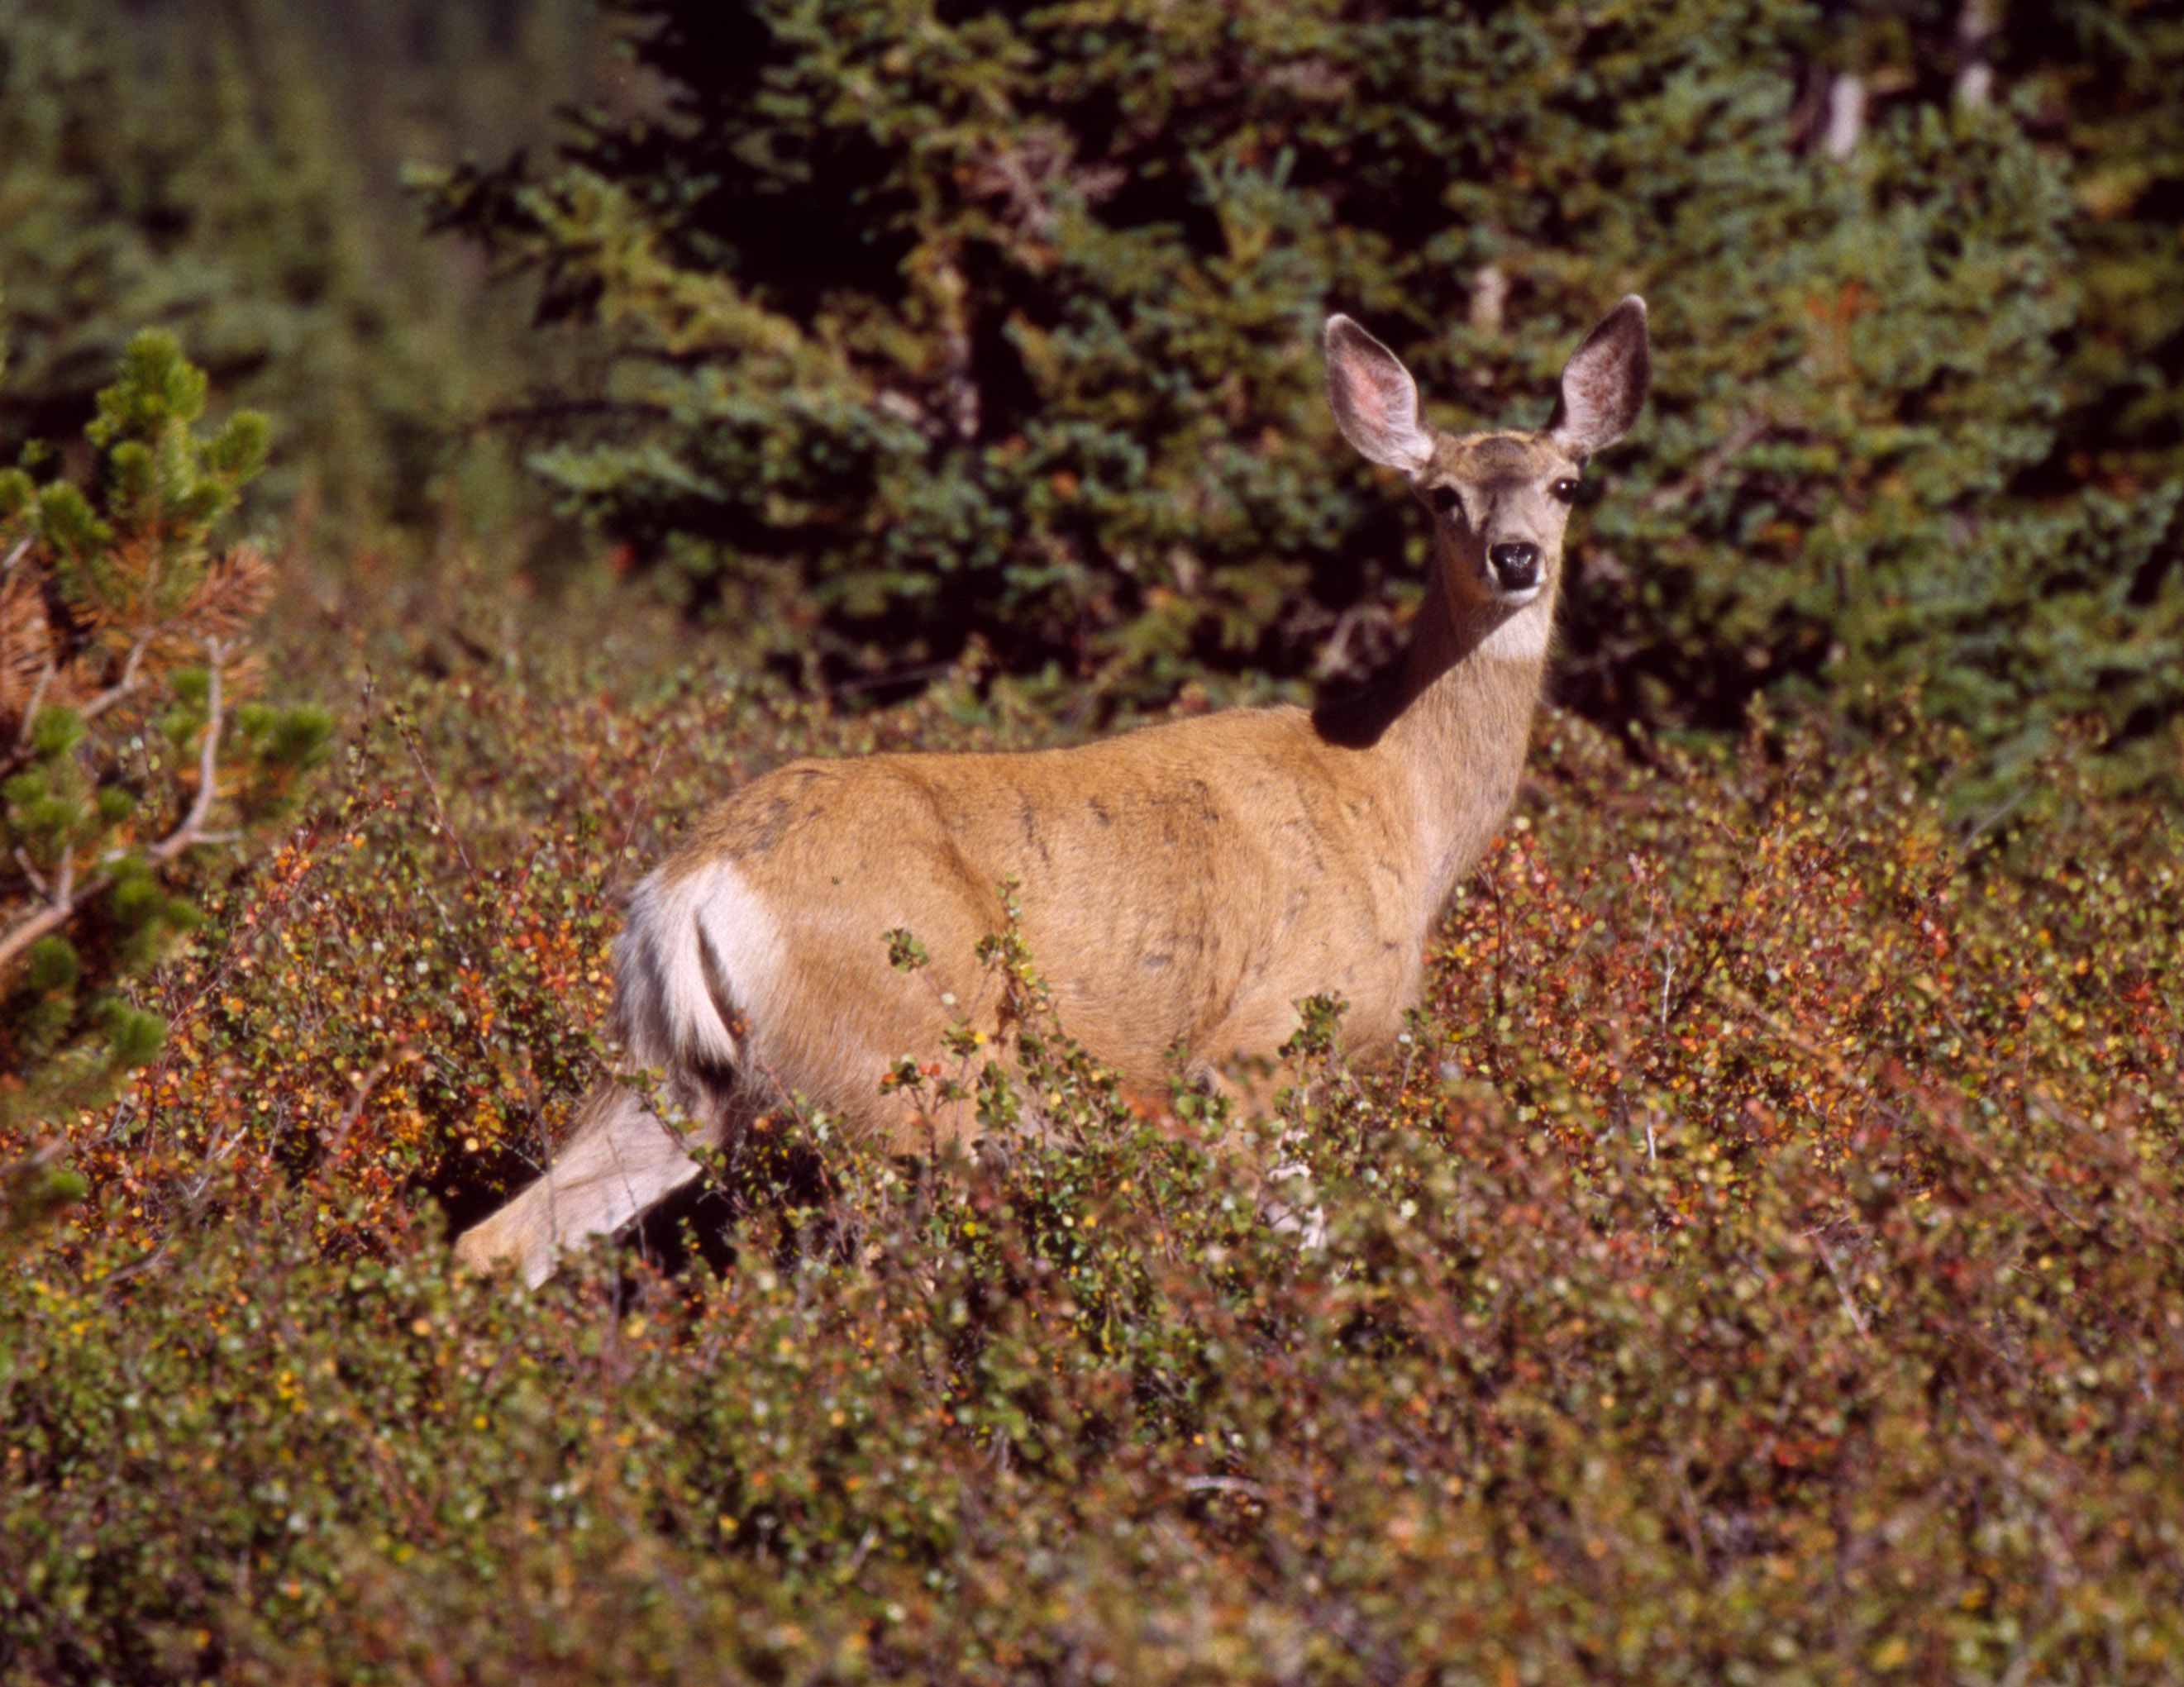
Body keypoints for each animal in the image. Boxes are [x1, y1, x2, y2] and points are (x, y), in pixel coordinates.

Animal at [460, 297, 1651, 1283]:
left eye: (1564, 484)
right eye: (1440, 495)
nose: (1514, 557)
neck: (1394, 796)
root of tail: (688, 887)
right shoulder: (1254, 1047)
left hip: (672, 1073)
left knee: (501, 1239)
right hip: (897, 1067)